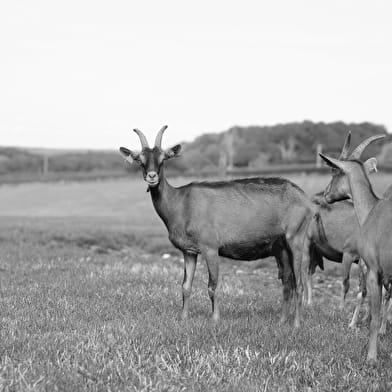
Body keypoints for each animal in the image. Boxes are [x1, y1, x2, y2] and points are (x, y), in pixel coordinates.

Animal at [118, 127, 314, 326]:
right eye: (139, 160)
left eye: (163, 159)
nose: (152, 177)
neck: (180, 203)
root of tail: (305, 199)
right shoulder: (189, 251)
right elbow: (185, 286)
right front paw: (183, 318)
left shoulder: (210, 247)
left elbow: (212, 286)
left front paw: (215, 319)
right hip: (280, 247)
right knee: (287, 282)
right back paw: (281, 321)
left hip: (296, 237)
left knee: (299, 283)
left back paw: (296, 324)